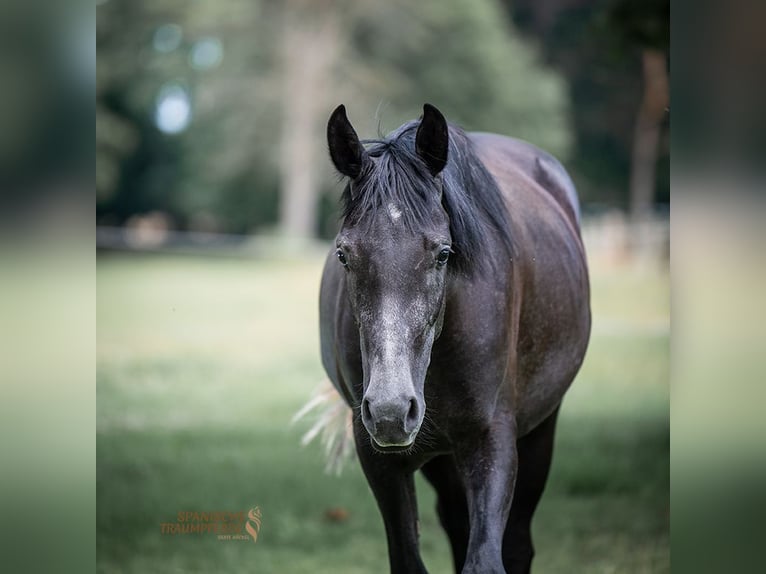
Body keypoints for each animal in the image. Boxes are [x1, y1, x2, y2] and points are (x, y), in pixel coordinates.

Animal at [318, 104, 592, 574]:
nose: (391, 410)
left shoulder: (492, 441)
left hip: (539, 432)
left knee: (517, 543)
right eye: (343, 254)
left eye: (443, 253)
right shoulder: (380, 458)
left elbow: (486, 560)